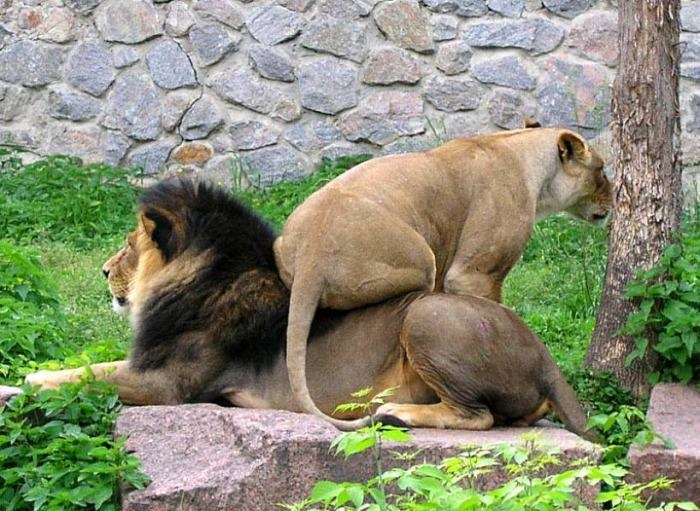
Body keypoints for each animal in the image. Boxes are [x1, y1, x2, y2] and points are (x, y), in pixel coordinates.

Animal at [25, 179, 596, 441]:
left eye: (127, 245)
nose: (103, 272)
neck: (210, 277)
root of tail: (544, 355)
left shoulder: (164, 383)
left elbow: (87, 377)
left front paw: (27, 381)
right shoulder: (151, 370)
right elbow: (83, 366)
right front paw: (37, 372)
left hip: (425, 315)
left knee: (479, 416)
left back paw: (397, 413)